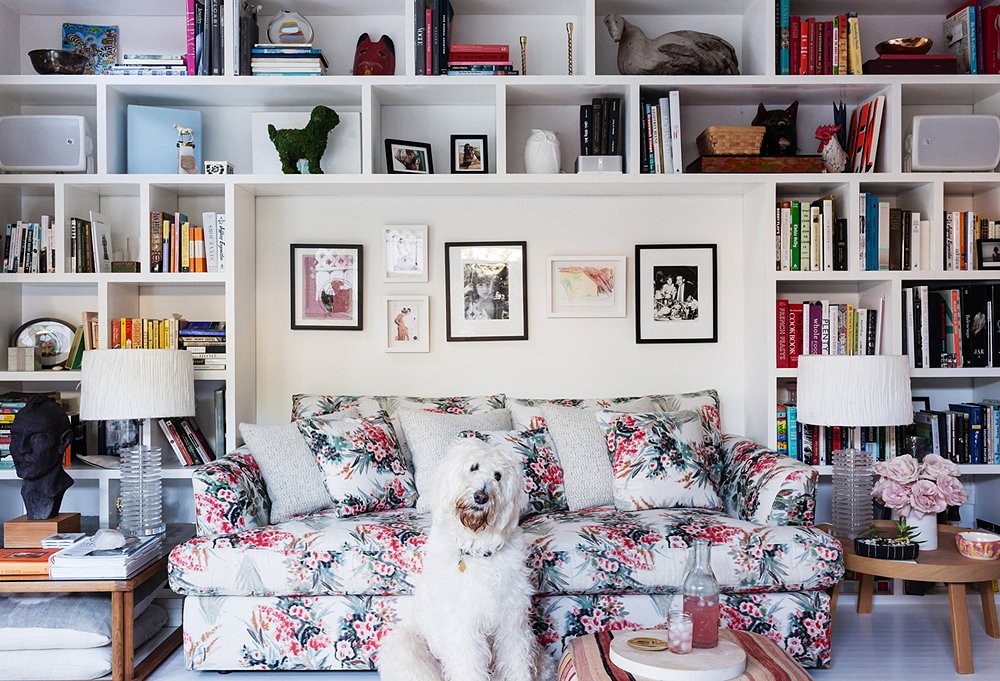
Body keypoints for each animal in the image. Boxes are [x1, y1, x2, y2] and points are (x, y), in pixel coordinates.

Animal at [376, 436, 548, 680]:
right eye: (473, 467)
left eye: (498, 475)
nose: (481, 496)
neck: (476, 549)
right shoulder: (463, 630)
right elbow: (470, 667)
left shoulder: (512, 623)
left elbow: (515, 663)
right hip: (407, 648)